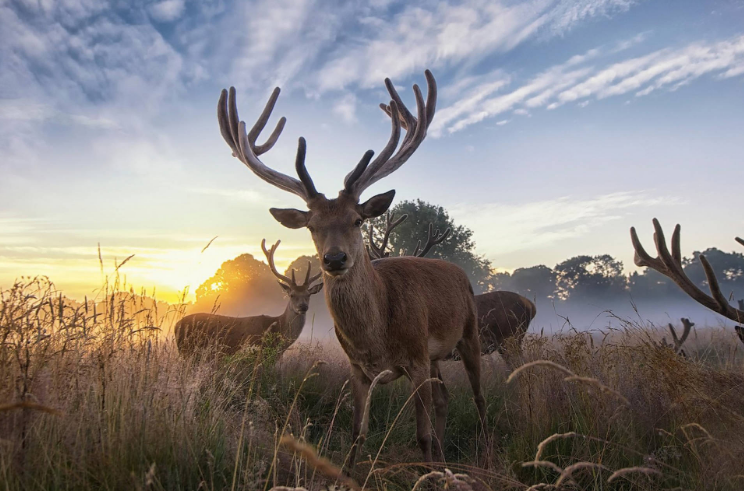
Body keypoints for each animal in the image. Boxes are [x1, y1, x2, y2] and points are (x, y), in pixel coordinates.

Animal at [218, 70, 488, 468]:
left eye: (358, 220)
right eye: (312, 226)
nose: (334, 259)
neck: (376, 337)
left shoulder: (416, 357)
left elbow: (420, 435)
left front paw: (426, 467)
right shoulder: (358, 369)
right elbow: (357, 434)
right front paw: (353, 471)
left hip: (469, 333)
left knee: (479, 398)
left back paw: (483, 450)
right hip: (437, 356)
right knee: (444, 399)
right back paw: (443, 456)